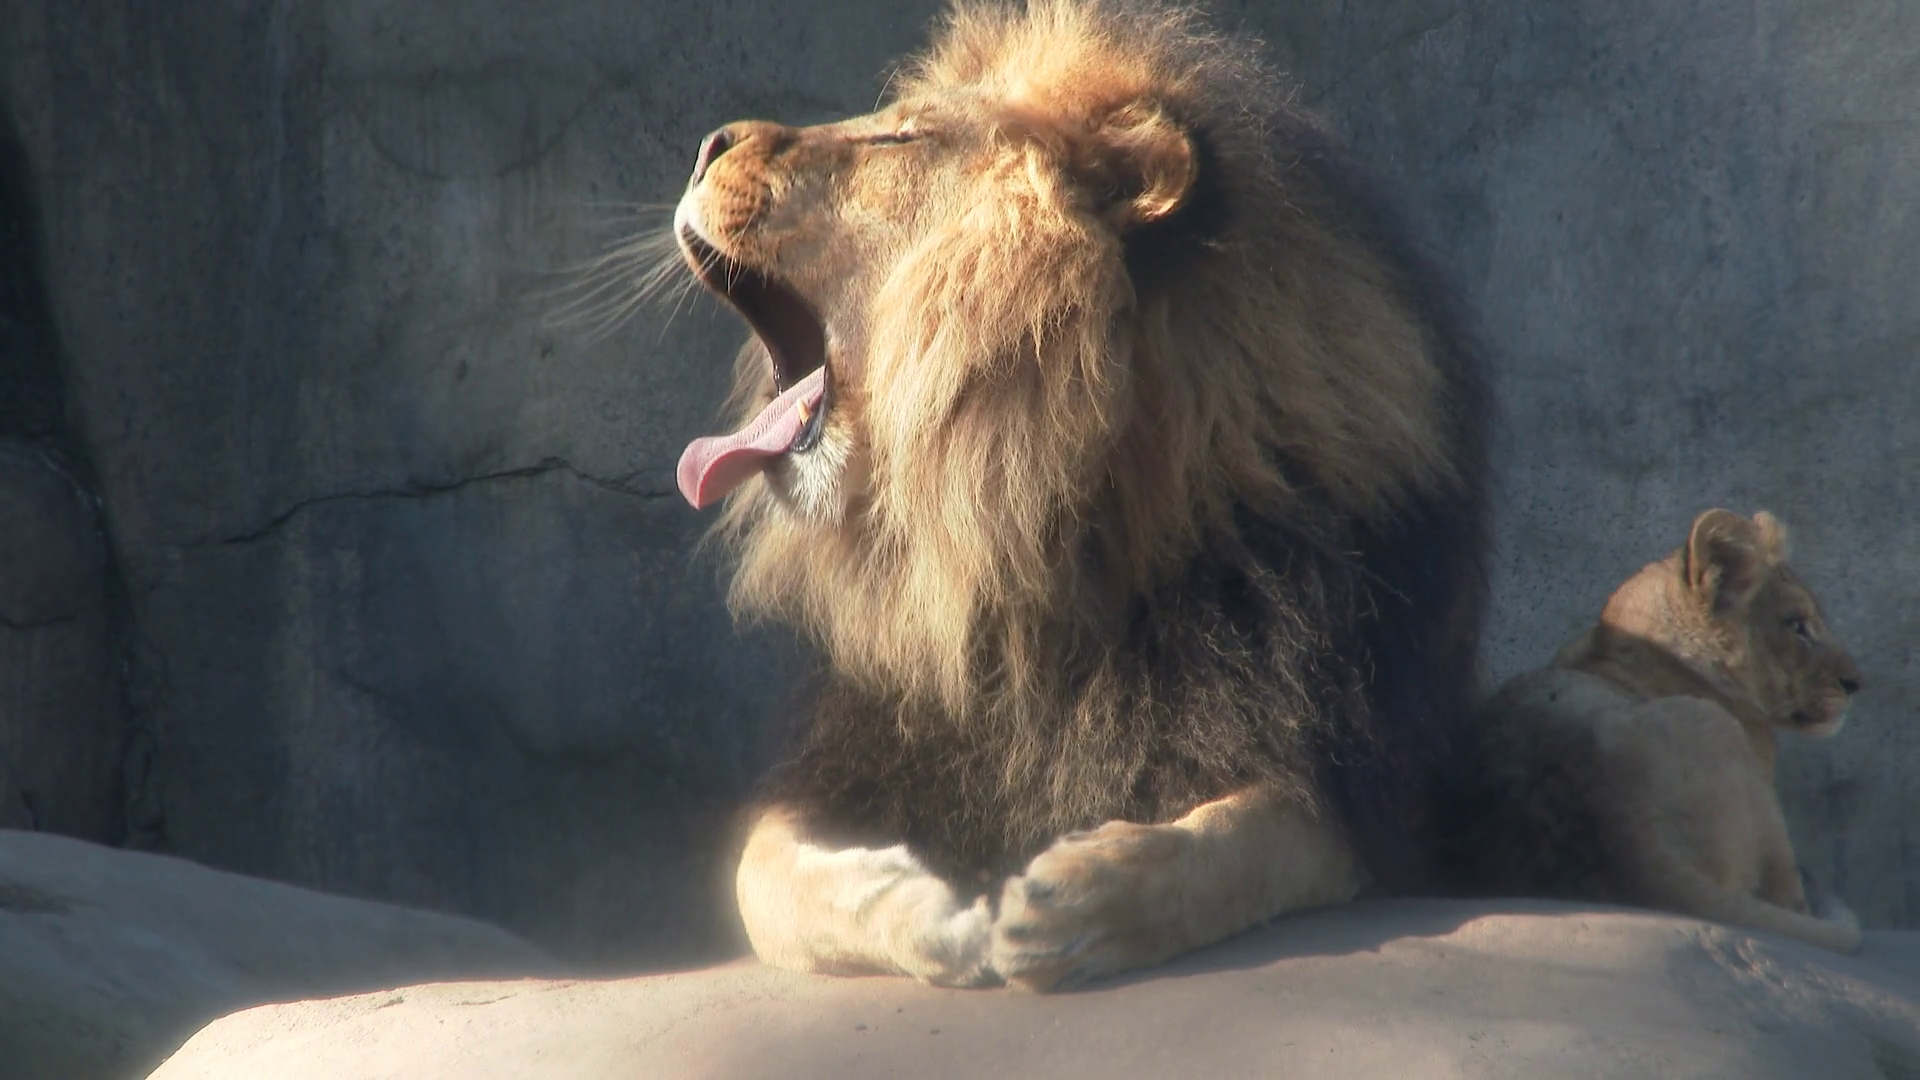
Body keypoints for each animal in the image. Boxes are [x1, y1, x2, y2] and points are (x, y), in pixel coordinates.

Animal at [664, 0, 1493, 989]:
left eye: (904, 134)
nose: (706, 145)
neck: (1025, 530)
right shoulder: (856, 751)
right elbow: (761, 876)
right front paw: (929, 915)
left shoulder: (1357, 785)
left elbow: (1241, 843)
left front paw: (1078, 902)